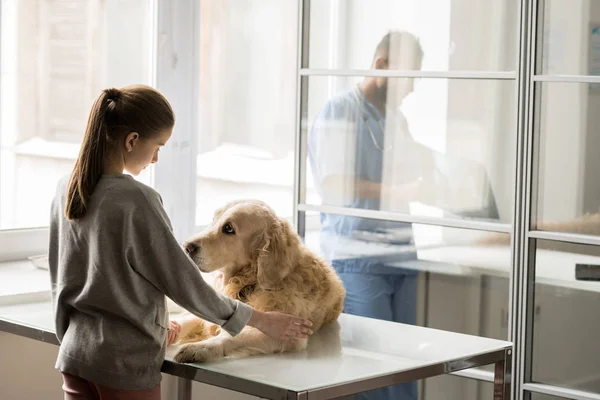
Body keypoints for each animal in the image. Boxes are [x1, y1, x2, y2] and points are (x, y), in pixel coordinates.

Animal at [171, 199, 344, 362]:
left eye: (228, 228)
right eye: (214, 219)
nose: (186, 247)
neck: (250, 282)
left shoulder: (288, 333)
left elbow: (230, 336)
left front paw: (200, 348)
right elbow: (190, 318)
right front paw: (173, 330)